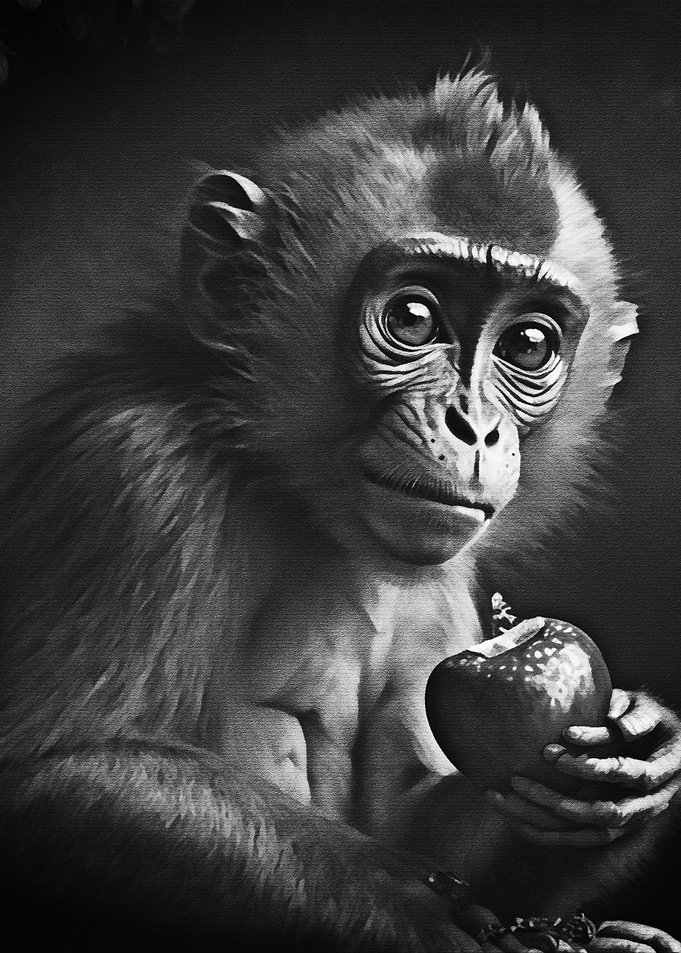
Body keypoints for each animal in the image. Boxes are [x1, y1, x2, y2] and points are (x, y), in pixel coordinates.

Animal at [0, 67, 680, 953]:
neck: (292, 495)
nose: (473, 424)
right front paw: (421, 915)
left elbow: (426, 822)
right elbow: (55, 779)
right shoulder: (131, 474)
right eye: (414, 318)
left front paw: (634, 757)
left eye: (527, 345)